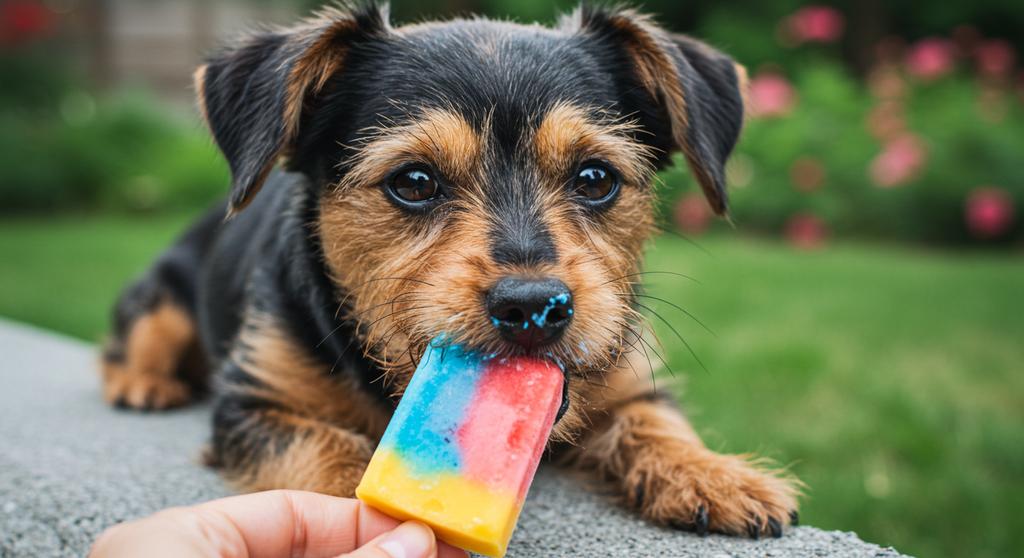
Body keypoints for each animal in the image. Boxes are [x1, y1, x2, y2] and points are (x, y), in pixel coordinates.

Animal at [99, 2, 798, 536]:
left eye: (596, 178)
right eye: (413, 182)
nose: (533, 306)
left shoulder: (631, 380)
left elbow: (656, 421)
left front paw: (715, 476)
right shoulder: (251, 407)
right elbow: (328, 446)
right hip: (158, 295)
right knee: (134, 339)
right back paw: (142, 382)